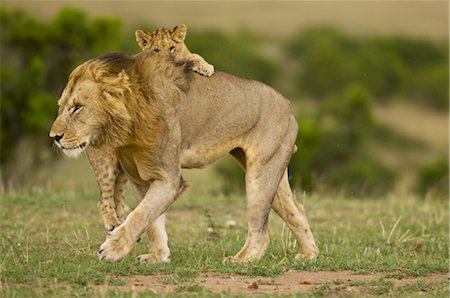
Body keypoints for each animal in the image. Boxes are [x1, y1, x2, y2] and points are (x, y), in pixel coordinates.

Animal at [49, 51, 318, 264]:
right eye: (60, 106)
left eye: (77, 107)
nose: (54, 137)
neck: (127, 123)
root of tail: (288, 104)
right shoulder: (141, 177)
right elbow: (152, 220)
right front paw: (157, 256)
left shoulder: (168, 178)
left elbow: (140, 215)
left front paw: (113, 249)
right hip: (272, 167)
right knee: (296, 209)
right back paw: (309, 254)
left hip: (259, 173)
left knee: (260, 226)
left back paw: (241, 259)